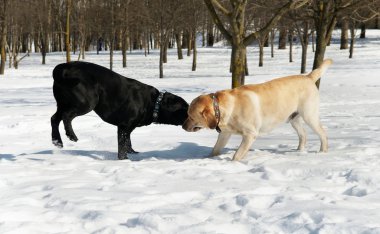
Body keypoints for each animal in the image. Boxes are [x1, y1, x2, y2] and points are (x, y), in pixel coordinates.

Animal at [51, 60, 188, 159]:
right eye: (185, 108)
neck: (153, 103)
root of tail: (65, 66)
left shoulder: (129, 127)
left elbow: (128, 141)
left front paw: (133, 153)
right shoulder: (124, 125)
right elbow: (122, 144)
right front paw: (124, 159)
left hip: (63, 103)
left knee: (54, 119)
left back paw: (57, 141)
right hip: (86, 102)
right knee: (66, 116)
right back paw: (71, 135)